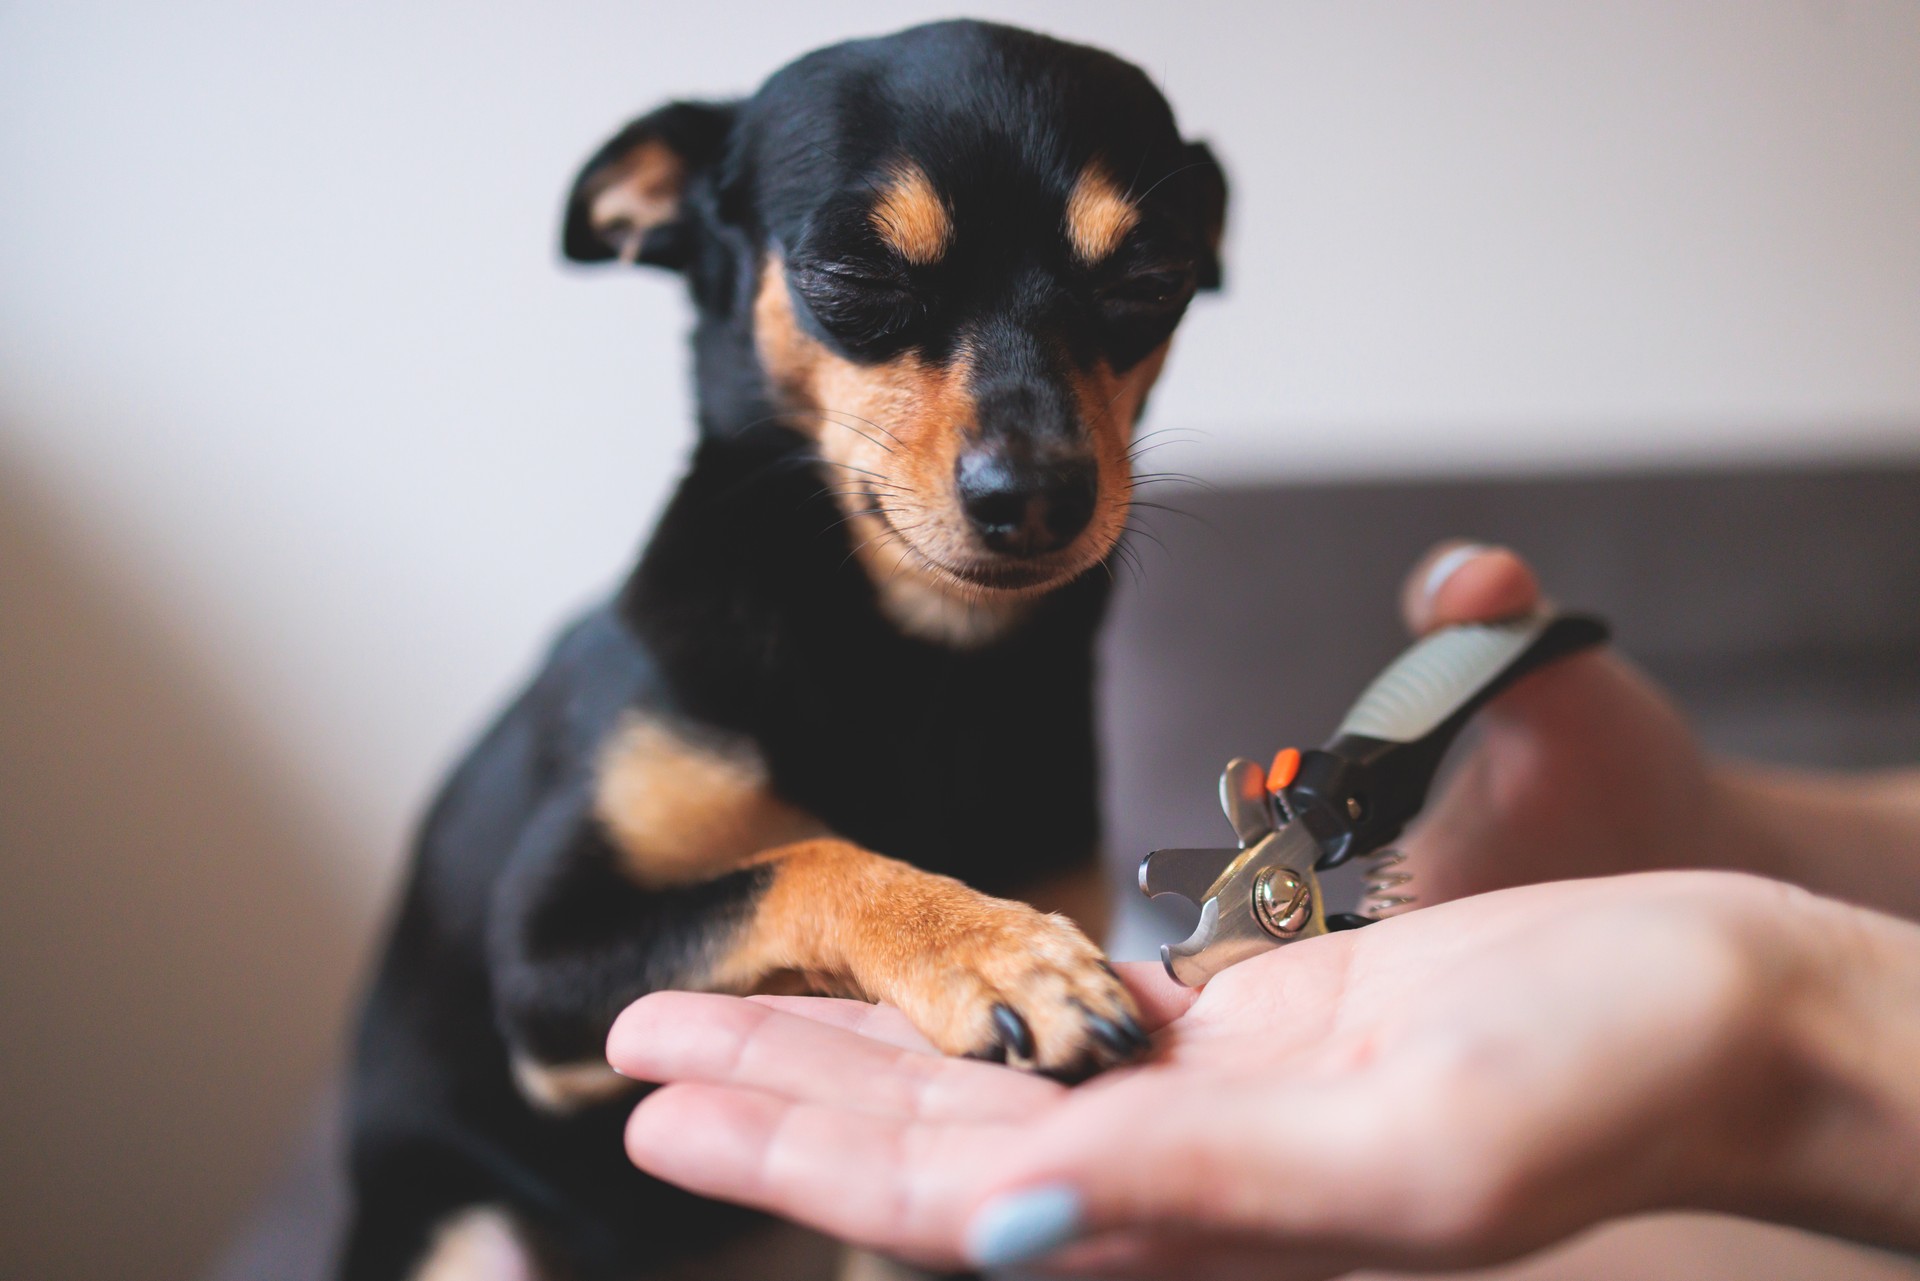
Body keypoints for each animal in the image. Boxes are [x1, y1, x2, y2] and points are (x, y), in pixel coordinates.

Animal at [337, 20, 1221, 1281]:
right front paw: (992, 950)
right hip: (468, 1232)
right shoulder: (547, 963)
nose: (1043, 495)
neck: (918, 662)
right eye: (854, 278)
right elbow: (810, 858)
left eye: (1152, 282)